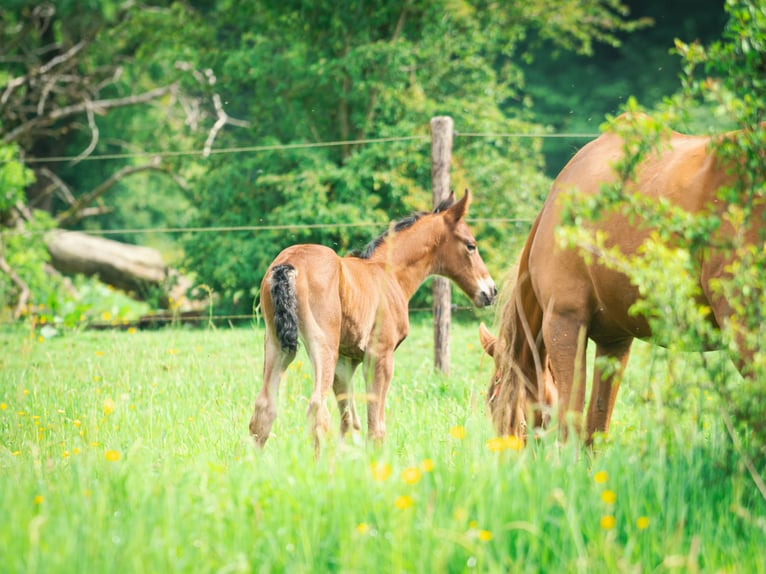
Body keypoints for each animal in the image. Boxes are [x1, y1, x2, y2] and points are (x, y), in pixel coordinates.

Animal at [250, 189, 497, 452]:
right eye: (471, 245)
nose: (491, 291)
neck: (389, 273)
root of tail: (289, 264)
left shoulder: (345, 360)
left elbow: (350, 421)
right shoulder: (380, 355)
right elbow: (375, 426)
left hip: (276, 343)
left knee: (264, 408)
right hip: (323, 345)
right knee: (317, 408)